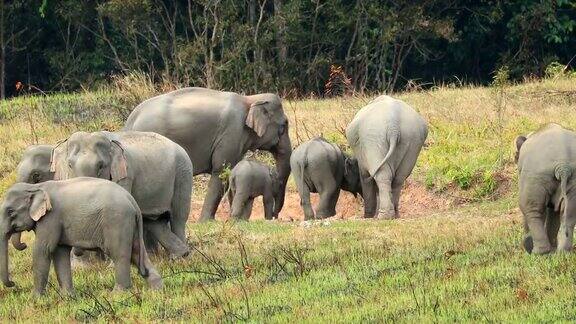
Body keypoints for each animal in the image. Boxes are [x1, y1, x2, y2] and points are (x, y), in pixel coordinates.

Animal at [0, 177, 163, 296]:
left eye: (10, 211)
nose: (13, 283)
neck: (36, 186)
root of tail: (132, 201)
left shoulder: (51, 218)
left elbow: (43, 251)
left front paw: (36, 298)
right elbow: (60, 253)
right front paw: (68, 297)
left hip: (117, 221)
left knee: (120, 254)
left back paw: (117, 294)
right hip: (129, 224)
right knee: (136, 252)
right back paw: (156, 290)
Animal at [50, 130, 192, 258]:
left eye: (100, 166)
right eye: (70, 165)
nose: (78, 253)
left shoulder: (125, 175)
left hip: (183, 174)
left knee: (178, 218)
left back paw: (180, 259)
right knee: (155, 222)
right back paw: (177, 254)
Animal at [123, 87, 290, 221]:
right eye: (284, 126)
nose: (276, 217)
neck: (251, 99)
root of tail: (131, 119)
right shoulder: (231, 133)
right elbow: (221, 172)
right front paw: (207, 221)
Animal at [516, 123, 576, 254]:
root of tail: (563, 167)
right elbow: (554, 210)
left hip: (537, 176)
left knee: (531, 208)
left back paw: (539, 252)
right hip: (573, 180)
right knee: (568, 213)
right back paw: (562, 252)